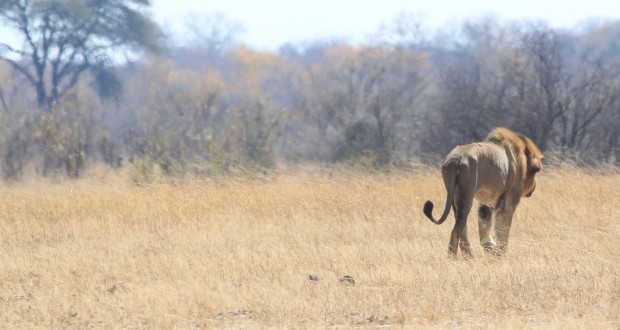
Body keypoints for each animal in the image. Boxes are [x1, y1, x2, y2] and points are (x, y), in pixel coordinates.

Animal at [422, 127, 544, 258]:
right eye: (536, 171)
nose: (534, 187)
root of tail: (455, 159)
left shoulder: (486, 204)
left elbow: (484, 229)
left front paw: (491, 249)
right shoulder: (509, 203)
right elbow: (503, 230)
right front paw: (500, 254)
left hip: (454, 197)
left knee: (462, 228)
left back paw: (469, 257)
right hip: (466, 195)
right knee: (456, 230)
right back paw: (453, 258)